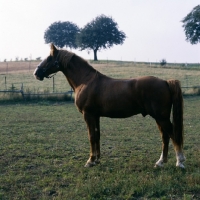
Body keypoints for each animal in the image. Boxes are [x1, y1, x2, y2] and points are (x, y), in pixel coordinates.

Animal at [33, 43, 185, 167]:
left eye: (49, 58)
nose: (36, 73)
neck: (85, 81)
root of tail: (165, 82)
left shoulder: (88, 115)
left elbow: (91, 136)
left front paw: (90, 161)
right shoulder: (96, 116)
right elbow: (97, 135)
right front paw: (97, 159)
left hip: (161, 117)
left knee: (173, 135)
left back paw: (180, 162)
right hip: (159, 118)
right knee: (165, 137)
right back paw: (160, 162)